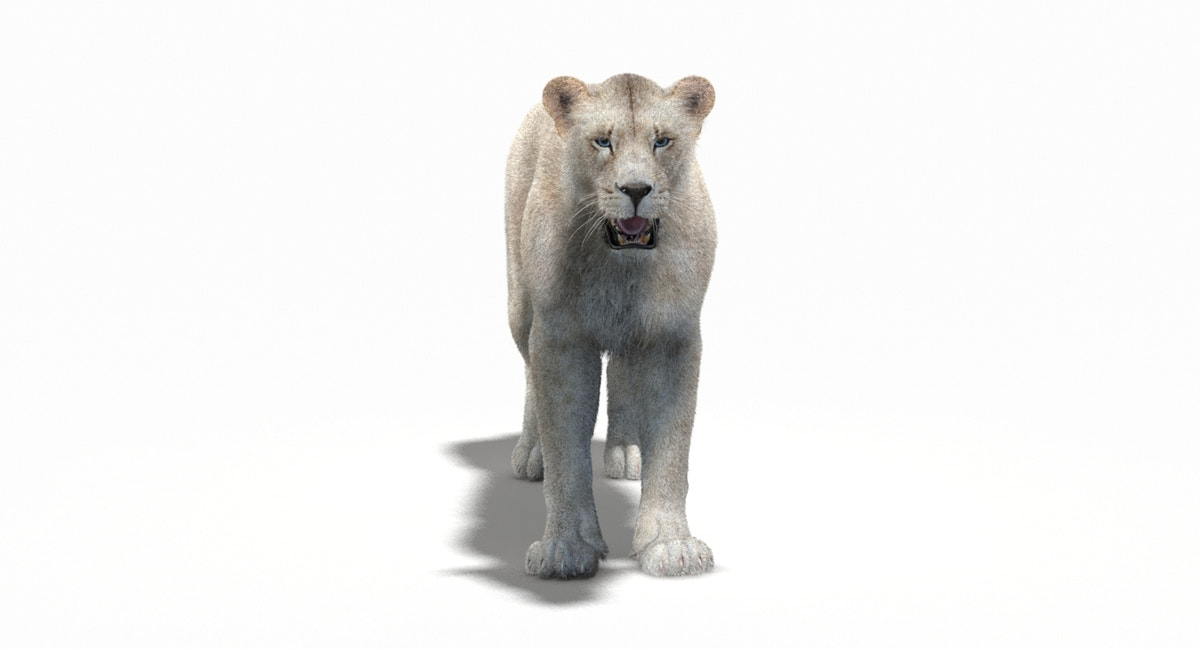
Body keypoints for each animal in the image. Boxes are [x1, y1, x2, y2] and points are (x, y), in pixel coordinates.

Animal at [504, 74, 718, 579]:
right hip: (520, 306)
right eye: (603, 141)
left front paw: (670, 545)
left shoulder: (673, 337)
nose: (636, 188)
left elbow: (673, 449)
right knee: (529, 373)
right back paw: (531, 453)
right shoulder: (560, 339)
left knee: (622, 372)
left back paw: (625, 452)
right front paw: (565, 549)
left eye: (662, 141)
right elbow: (565, 449)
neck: (621, 270)